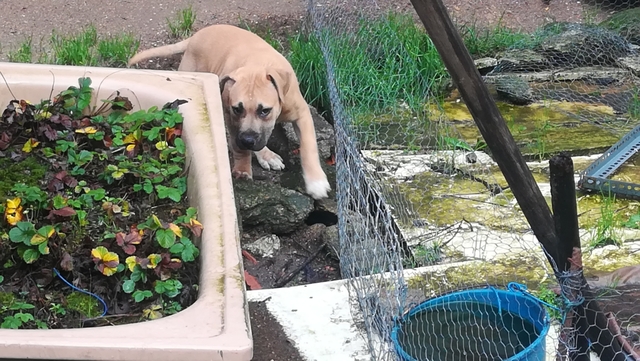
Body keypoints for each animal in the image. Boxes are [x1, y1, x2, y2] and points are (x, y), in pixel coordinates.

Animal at [128, 24, 332, 200]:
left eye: (265, 111)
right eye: (237, 109)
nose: (248, 140)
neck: (257, 66)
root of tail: (195, 36)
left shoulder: (302, 113)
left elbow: (308, 146)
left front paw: (316, 182)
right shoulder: (230, 117)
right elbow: (239, 146)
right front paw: (244, 167)